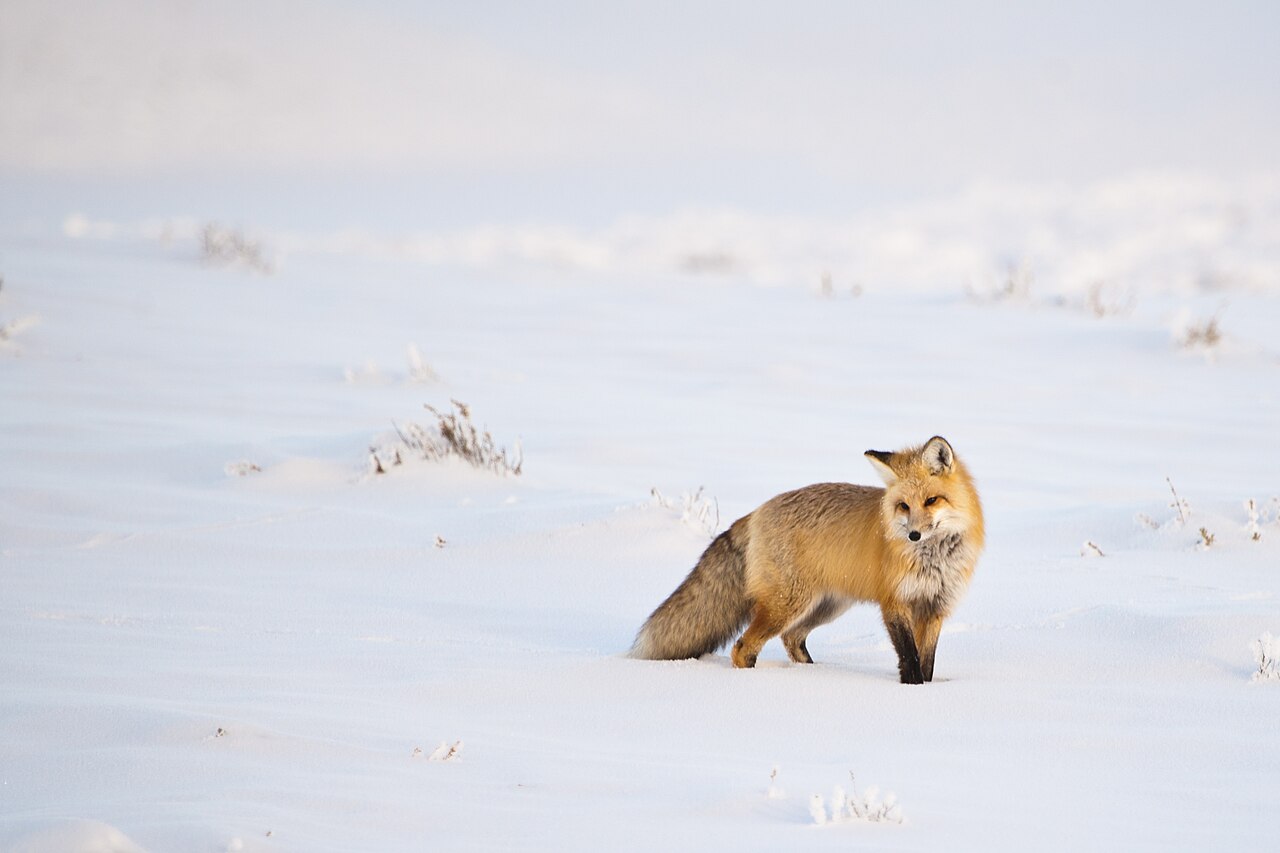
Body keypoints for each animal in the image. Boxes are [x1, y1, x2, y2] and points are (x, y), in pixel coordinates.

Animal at [630, 436, 983, 683]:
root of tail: (757, 510)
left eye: (931, 500)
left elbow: (927, 662)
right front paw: (914, 692)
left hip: (826, 605)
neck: (933, 560)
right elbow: (909, 659)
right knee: (743, 647)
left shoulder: (935, 607)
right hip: (789, 603)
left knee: (791, 638)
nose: (913, 536)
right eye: (904, 506)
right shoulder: (895, 603)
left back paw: (811, 675)